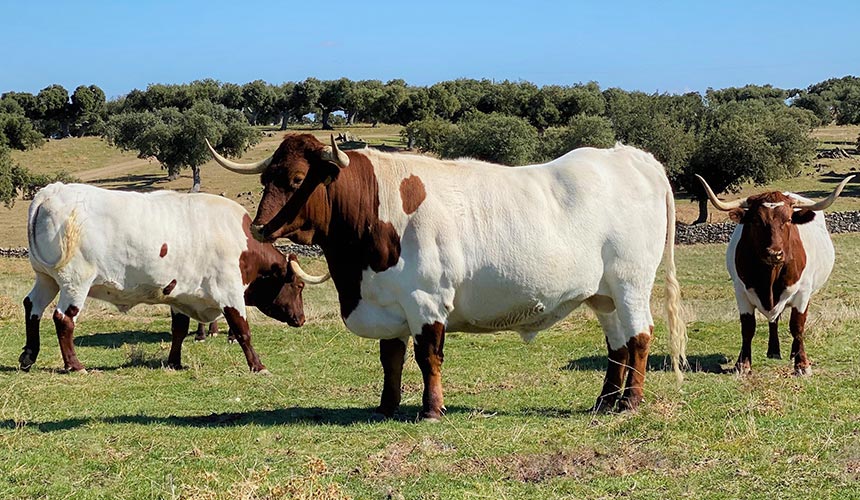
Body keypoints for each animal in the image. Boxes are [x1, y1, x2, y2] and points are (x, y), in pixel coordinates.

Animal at [21, 182, 330, 374]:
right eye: (299, 286)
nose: (301, 319)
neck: (239, 238)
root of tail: (53, 191)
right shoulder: (229, 292)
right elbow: (242, 330)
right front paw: (258, 365)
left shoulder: (181, 295)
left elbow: (179, 330)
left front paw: (174, 362)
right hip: (75, 282)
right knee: (63, 319)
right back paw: (74, 365)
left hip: (46, 278)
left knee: (32, 307)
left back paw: (28, 356)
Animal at [207, 134, 684, 418]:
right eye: (267, 178)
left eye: (296, 179)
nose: (258, 227)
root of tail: (630, 156)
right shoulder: (389, 302)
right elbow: (391, 358)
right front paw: (386, 406)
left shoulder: (427, 299)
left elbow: (428, 357)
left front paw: (431, 409)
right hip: (603, 294)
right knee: (617, 344)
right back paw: (605, 402)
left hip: (631, 283)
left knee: (640, 337)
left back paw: (631, 403)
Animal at [700, 176, 852, 376]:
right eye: (756, 221)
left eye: (788, 219)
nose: (774, 253)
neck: (769, 277)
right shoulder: (741, 293)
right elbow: (747, 328)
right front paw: (743, 364)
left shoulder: (803, 294)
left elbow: (797, 327)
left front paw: (802, 364)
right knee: (773, 319)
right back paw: (773, 350)